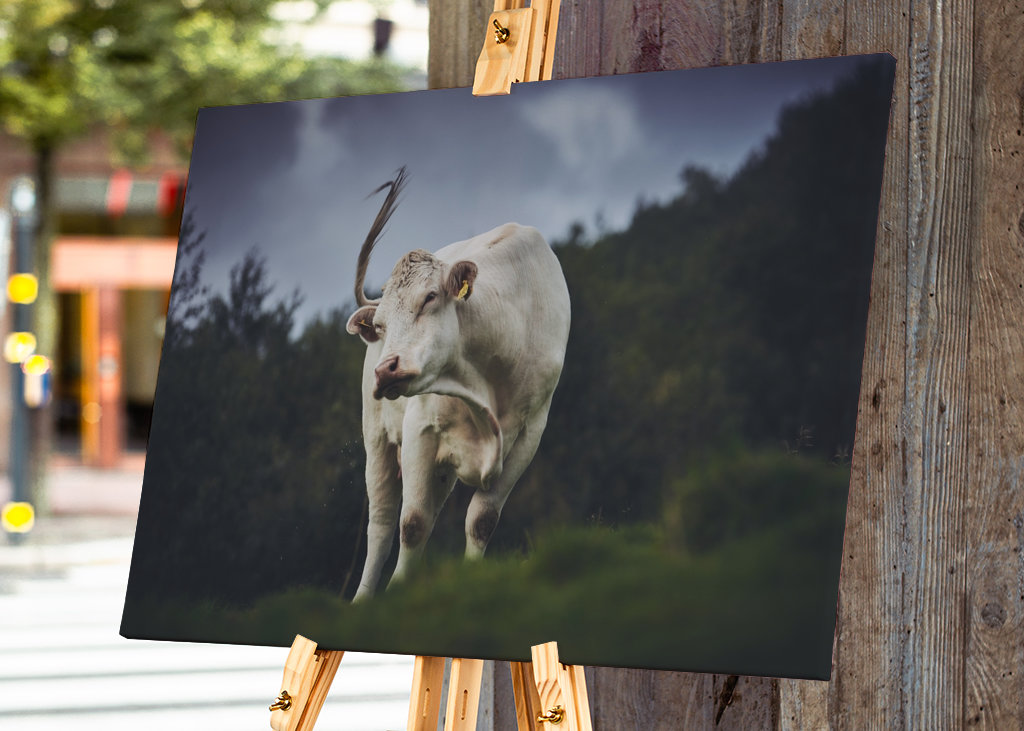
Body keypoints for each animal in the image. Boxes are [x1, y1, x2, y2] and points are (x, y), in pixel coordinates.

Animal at [345, 168, 571, 600]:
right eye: (379, 326)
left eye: (430, 297)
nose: (386, 370)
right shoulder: (420, 430)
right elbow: (411, 524)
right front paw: (397, 592)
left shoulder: (529, 435)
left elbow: (481, 520)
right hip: (377, 437)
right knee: (381, 523)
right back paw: (362, 600)